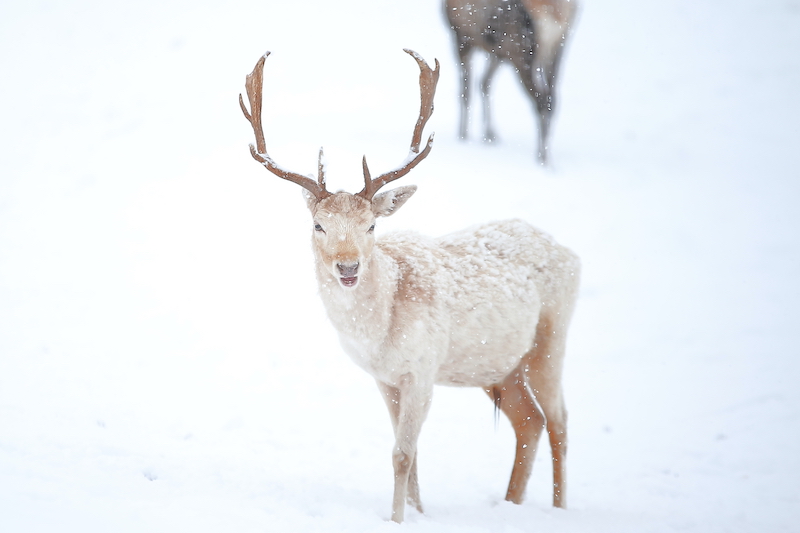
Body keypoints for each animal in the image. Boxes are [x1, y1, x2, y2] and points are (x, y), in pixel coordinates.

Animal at [239, 49, 580, 523]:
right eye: (318, 224)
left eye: (372, 224)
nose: (348, 266)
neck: (379, 333)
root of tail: (569, 252)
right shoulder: (385, 379)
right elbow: (413, 454)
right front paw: (418, 513)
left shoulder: (422, 370)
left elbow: (402, 453)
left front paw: (397, 518)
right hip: (499, 363)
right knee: (529, 420)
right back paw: (511, 503)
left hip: (551, 337)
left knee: (561, 421)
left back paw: (560, 508)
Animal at [444, 0, 579, 165]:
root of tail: (556, 12)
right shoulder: (498, 51)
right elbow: (484, 84)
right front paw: (489, 135)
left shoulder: (461, 36)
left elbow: (466, 92)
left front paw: (463, 136)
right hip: (557, 48)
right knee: (551, 99)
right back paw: (547, 156)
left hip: (521, 49)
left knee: (540, 100)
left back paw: (541, 157)